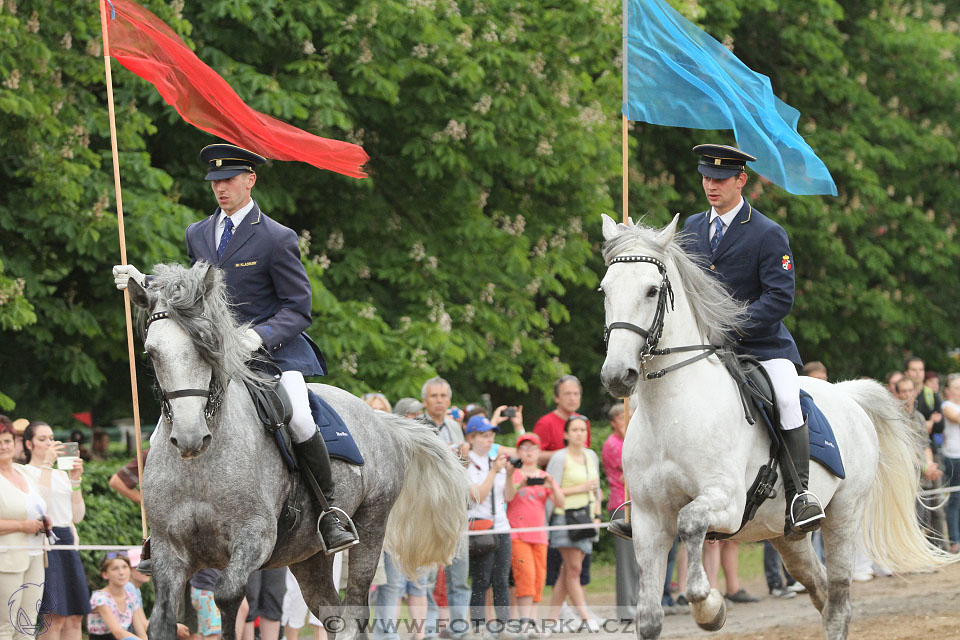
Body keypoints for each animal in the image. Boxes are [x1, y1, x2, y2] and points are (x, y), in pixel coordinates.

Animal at [128, 262, 468, 636]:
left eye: (209, 346)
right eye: (152, 352)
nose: (190, 438)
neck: (200, 469)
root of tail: (380, 418)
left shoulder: (255, 537)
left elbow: (228, 597)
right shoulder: (168, 550)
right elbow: (161, 622)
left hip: (371, 525)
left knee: (355, 614)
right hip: (308, 555)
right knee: (333, 616)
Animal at [596, 216, 956, 640]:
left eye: (652, 290)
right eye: (605, 289)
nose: (617, 376)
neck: (671, 413)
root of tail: (847, 394)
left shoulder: (726, 502)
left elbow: (690, 523)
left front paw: (709, 606)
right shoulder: (649, 521)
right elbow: (650, 618)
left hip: (844, 515)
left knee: (838, 602)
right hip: (786, 534)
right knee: (820, 590)